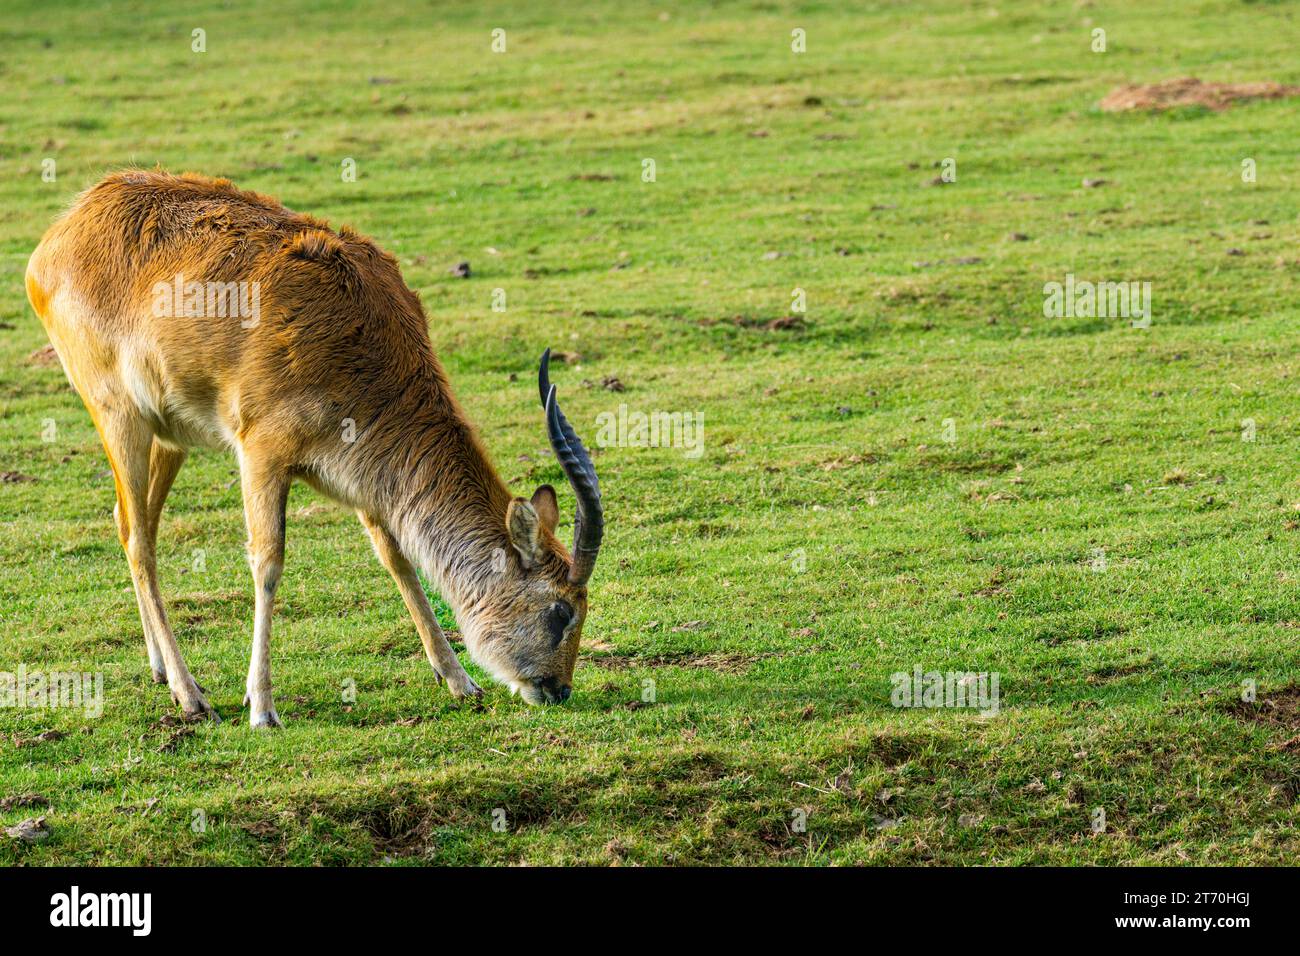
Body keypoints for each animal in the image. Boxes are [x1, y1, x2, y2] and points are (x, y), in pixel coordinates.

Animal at [25, 170, 603, 723]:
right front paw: (261, 708)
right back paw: (191, 697)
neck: (364, 347)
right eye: (561, 610)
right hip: (120, 417)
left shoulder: (367, 476)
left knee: (130, 522)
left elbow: (396, 557)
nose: (559, 689)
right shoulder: (260, 453)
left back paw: (162, 670)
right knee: (139, 539)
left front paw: (459, 680)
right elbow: (268, 563)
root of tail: (64, 230)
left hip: (169, 435)